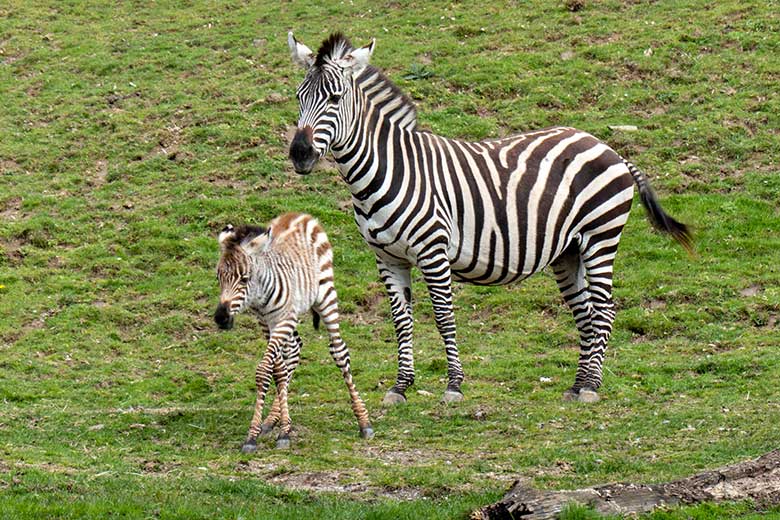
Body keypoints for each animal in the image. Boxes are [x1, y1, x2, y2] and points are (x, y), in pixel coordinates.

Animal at [212, 211, 374, 450]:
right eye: (219, 277)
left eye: (245, 278)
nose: (221, 318)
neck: (259, 296)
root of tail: (300, 214)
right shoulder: (266, 323)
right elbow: (277, 370)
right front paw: (279, 427)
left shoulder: (284, 320)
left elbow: (264, 369)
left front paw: (259, 434)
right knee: (295, 349)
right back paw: (272, 420)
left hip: (326, 295)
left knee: (339, 352)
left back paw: (363, 422)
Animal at [284, 31, 692, 406]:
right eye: (299, 98)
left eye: (335, 99)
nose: (300, 154)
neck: (387, 170)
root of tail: (608, 148)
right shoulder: (387, 258)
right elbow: (401, 322)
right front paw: (400, 387)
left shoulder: (432, 251)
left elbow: (444, 316)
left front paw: (453, 385)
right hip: (569, 251)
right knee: (585, 312)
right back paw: (577, 385)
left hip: (600, 237)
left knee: (604, 309)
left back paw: (591, 386)